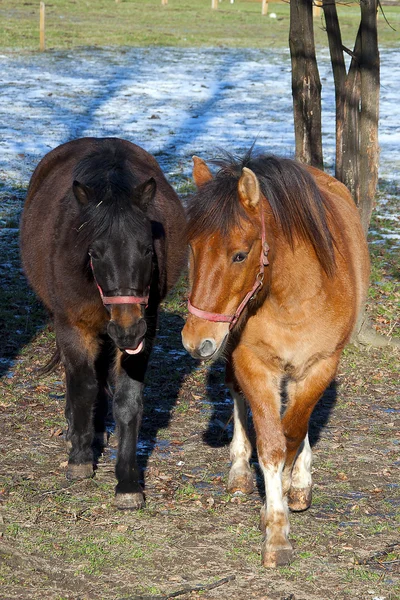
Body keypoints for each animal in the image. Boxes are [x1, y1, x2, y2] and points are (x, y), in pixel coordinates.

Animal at [20, 138, 186, 508]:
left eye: (147, 251)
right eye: (94, 253)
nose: (128, 329)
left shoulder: (144, 331)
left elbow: (127, 401)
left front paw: (127, 482)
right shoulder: (73, 325)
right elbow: (82, 385)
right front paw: (80, 459)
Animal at [181, 150, 368, 568]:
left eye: (240, 254)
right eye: (193, 249)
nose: (195, 340)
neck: (295, 295)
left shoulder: (320, 366)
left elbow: (293, 434)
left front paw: (283, 495)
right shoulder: (253, 362)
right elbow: (271, 444)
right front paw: (276, 532)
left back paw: (299, 482)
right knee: (237, 396)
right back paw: (240, 471)